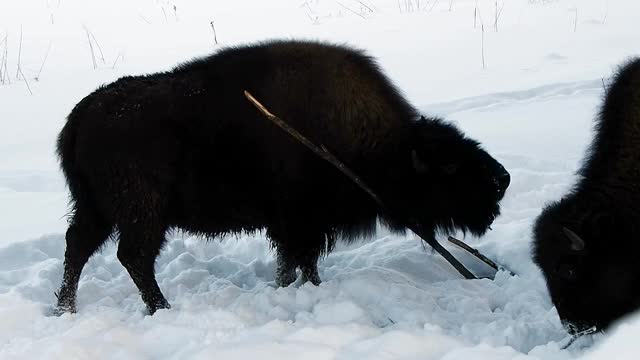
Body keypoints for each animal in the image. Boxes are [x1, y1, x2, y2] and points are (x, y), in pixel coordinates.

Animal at [55, 40, 510, 316]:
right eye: (452, 169)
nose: (502, 179)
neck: (386, 146)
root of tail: (81, 117)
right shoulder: (299, 222)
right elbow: (301, 261)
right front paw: (307, 289)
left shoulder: (296, 226)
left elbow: (292, 264)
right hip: (142, 214)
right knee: (133, 257)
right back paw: (160, 308)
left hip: (96, 210)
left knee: (79, 249)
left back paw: (67, 309)